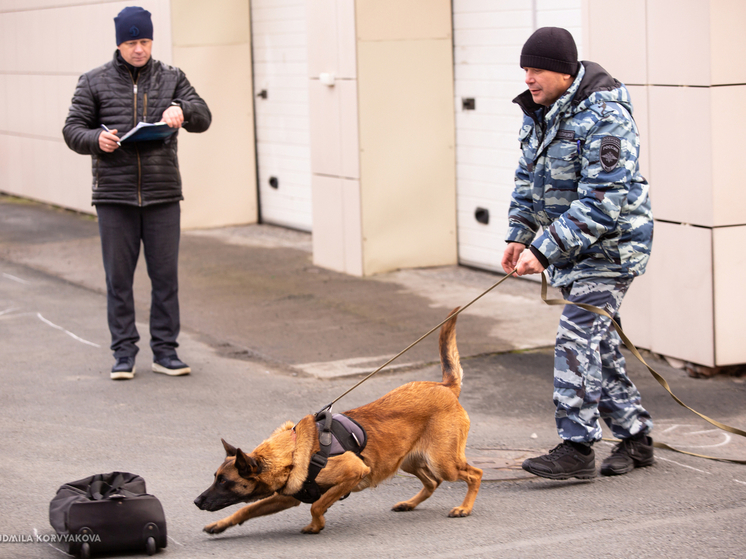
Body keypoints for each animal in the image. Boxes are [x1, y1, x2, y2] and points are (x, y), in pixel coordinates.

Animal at [193, 310, 482, 532]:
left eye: (224, 481)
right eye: (216, 478)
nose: (196, 501)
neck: (294, 452)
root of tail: (445, 386)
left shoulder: (353, 472)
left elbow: (318, 505)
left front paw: (315, 525)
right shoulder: (286, 498)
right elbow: (246, 510)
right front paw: (221, 524)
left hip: (442, 462)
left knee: (474, 474)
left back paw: (464, 508)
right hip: (407, 460)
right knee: (432, 482)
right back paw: (409, 503)